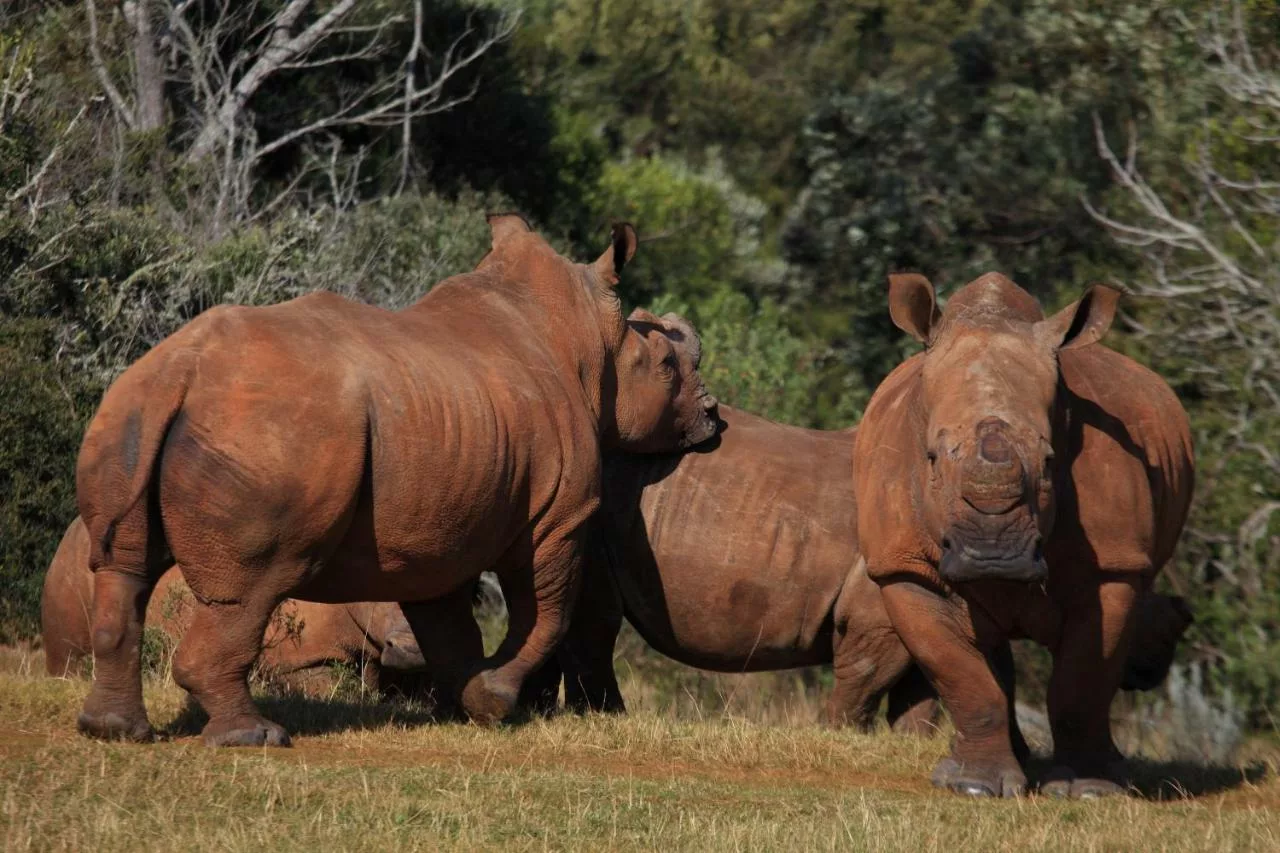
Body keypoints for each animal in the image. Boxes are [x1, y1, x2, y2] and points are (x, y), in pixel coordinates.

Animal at [855, 274, 1192, 799]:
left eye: (1051, 461)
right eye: (930, 459)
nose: (993, 555)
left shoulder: (1114, 566)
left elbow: (1082, 683)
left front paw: (1088, 790)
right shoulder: (902, 566)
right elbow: (961, 674)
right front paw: (972, 787)